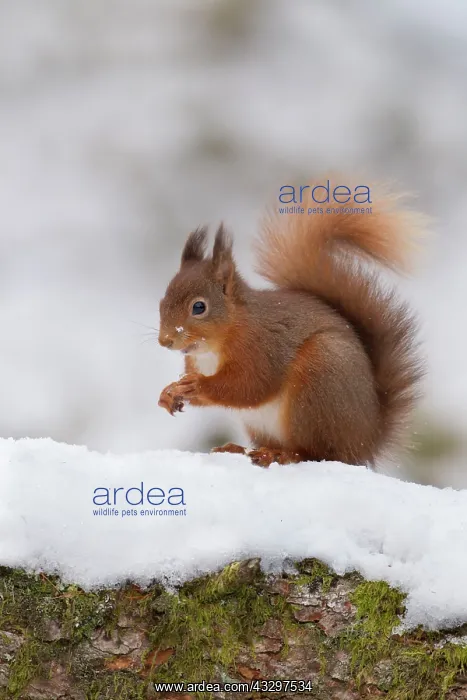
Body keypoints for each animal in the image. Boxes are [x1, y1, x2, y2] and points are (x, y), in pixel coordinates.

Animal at [158, 182, 425, 468]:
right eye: (162, 300)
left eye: (199, 307)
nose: (165, 340)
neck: (214, 346)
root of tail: (367, 440)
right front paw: (168, 393)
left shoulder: (261, 348)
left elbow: (250, 386)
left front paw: (197, 386)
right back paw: (238, 449)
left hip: (318, 385)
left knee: (316, 453)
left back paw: (280, 454)